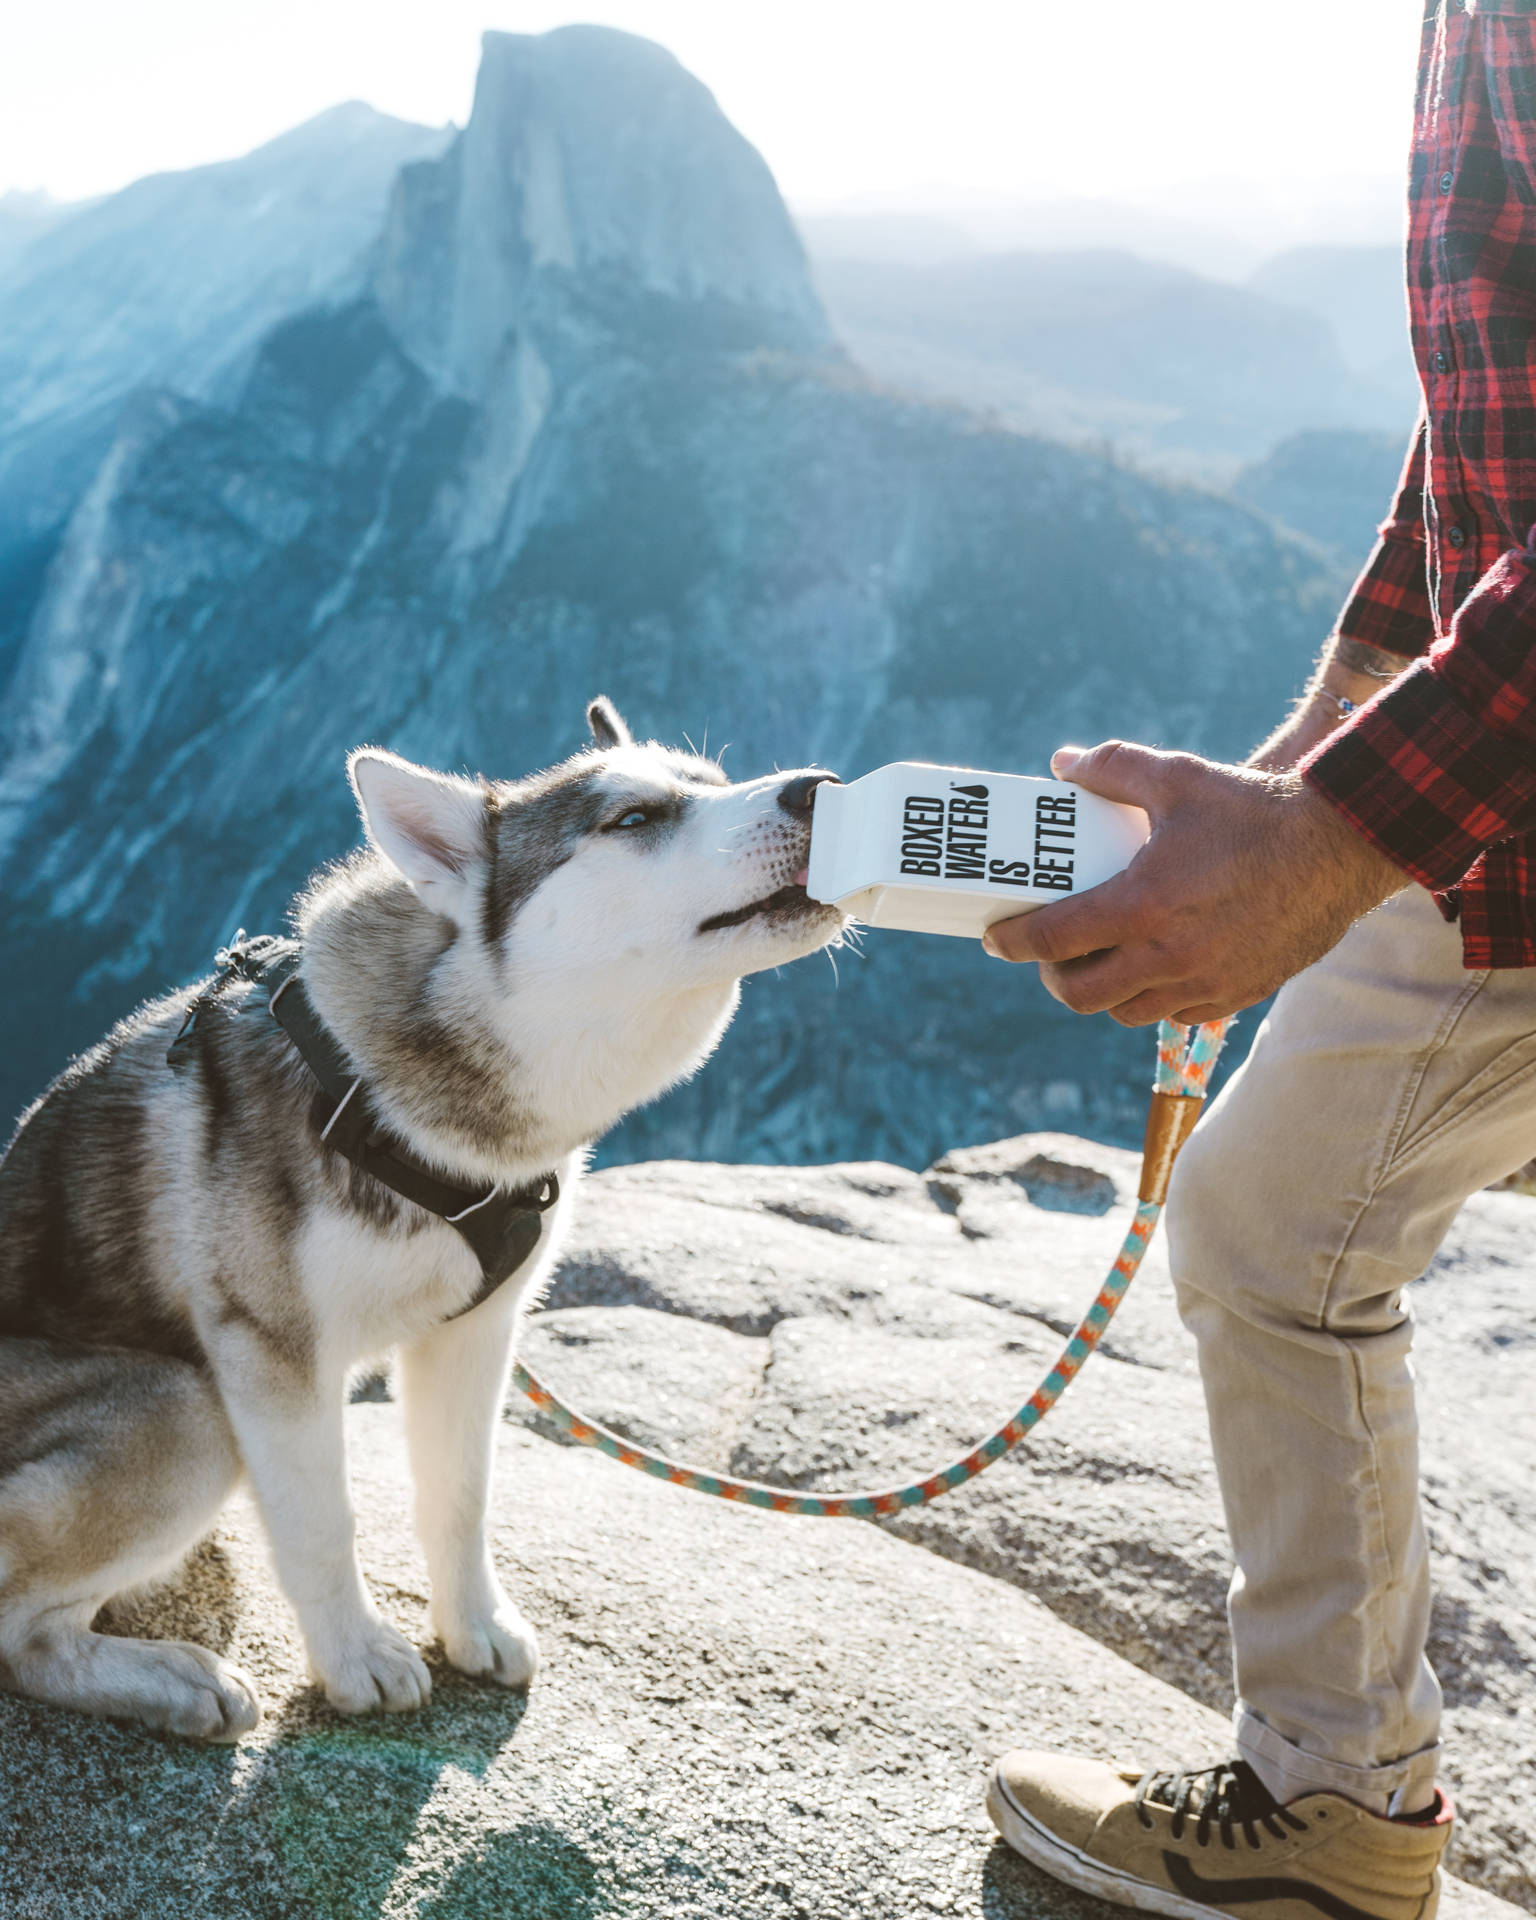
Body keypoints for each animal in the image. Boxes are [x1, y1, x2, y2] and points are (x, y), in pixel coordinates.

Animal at [0, 702, 840, 1743]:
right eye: (635, 819)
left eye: (712, 781)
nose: (819, 788)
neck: (400, 1107)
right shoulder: (271, 1354)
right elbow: (322, 1522)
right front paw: (354, 1656)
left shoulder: (477, 1330)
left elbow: (460, 1495)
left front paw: (472, 1625)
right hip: (189, 1410)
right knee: (21, 1635)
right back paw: (169, 1680)